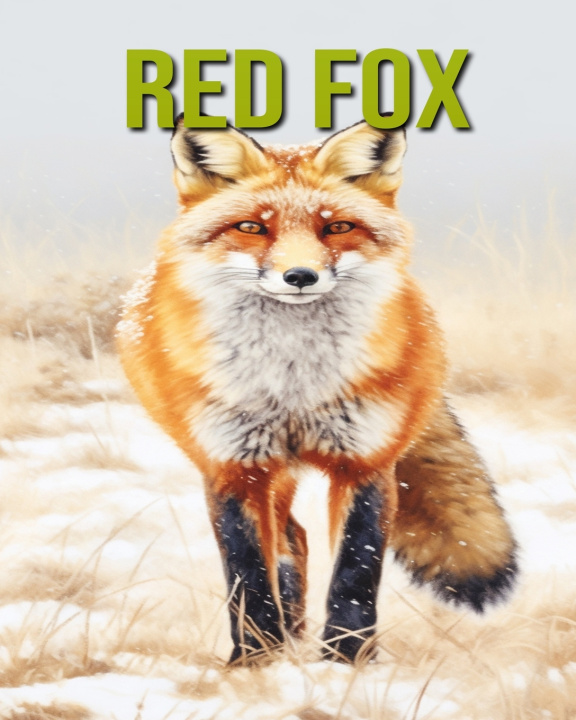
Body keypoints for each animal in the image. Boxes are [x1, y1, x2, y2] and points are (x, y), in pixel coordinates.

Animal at [117, 116, 518, 665]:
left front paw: (347, 660)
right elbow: (246, 572)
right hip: (265, 469)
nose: (300, 275)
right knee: (290, 542)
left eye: (337, 227)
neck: (294, 384)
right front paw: (254, 660)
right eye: (252, 227)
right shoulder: (233, 467)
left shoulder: (366, 462)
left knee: (298, 540)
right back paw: (285, 636)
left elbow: (356, 570)